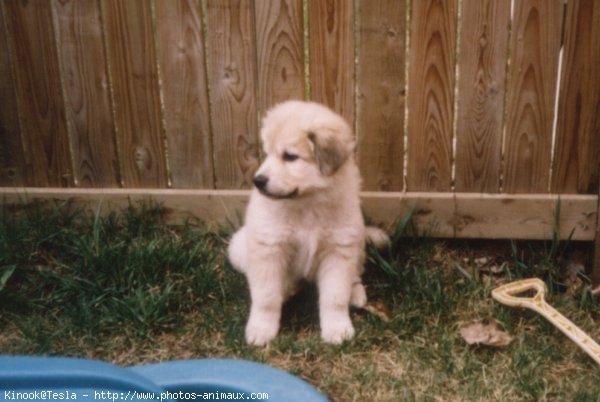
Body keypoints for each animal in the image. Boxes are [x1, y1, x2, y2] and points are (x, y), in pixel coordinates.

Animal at [226, 100, 390, 346]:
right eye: (267, 154)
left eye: (290, 157)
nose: (258, 181)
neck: (306, 204)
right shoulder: (269, 249)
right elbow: (266, 297)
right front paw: (261, 329)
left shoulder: (338, 250)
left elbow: (335, 297)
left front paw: (338, 328)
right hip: (238, 248)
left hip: (357, 240)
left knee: (355, 273)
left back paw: (356, 293)